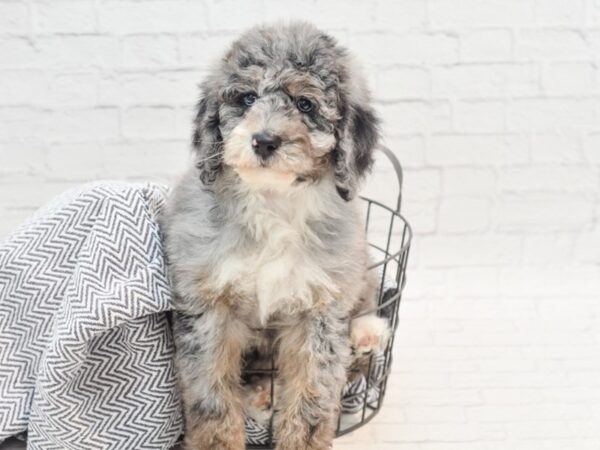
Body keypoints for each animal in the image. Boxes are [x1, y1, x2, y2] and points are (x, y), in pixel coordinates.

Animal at [159, 22, 384, 450]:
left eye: (305, 105)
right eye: (247, 98)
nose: (264, 141)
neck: (273, 202)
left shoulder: (319, 311)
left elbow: (312, 400)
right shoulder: (209, 307)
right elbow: (213, 399)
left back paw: (368, 332)